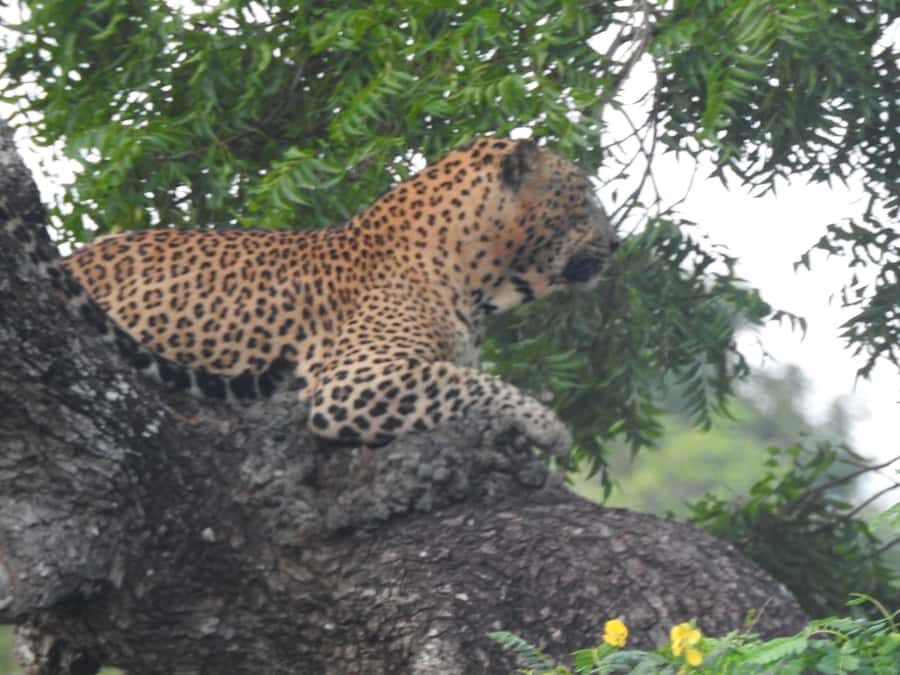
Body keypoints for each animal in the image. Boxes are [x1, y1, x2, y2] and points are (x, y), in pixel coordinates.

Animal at [4, 136, 619, 456]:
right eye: (583, 196)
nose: (616, 243)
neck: (477, 278)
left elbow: (468, 376)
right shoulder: (355, 380)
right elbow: (471, 382)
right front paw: (548, 426)